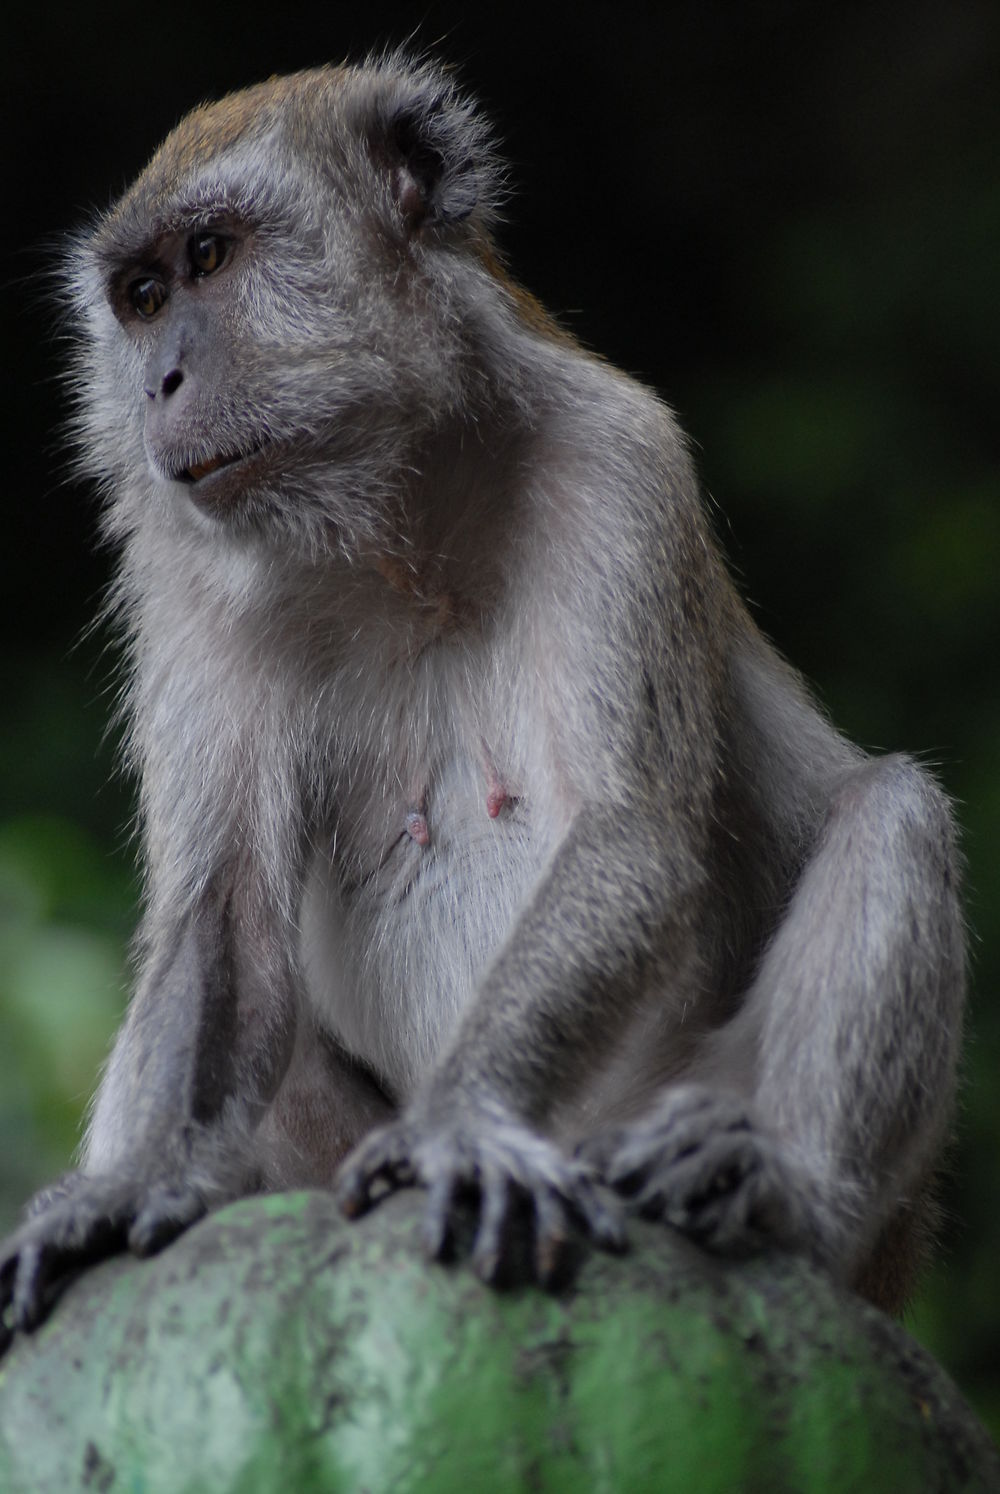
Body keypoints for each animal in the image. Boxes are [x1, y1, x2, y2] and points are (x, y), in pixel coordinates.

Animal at [0, 58, 968, 1344]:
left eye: (209, 257)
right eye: (143, 297)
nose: (157, 380)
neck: (397, 538)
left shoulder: (618, 460)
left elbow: (629, 834)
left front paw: (462, 1123)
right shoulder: (179, 570)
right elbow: (227, 922)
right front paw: (131, 1183)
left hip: (834, 1222)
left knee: (891, 813)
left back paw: (772, 1188)